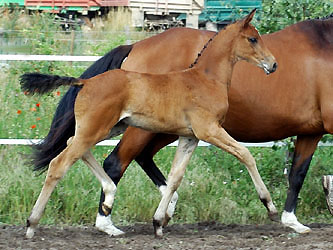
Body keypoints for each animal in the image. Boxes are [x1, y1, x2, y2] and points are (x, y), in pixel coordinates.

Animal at [20, 9, 274, 236]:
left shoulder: (189, 137)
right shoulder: (209, 130)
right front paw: (269, 205)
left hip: (109, 127)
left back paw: (109, 197)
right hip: (96, 129)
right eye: (253, 38)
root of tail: (85, 82)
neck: (206, 79)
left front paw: (159, 223)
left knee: (74, 145)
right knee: (59, 164)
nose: (273, 64)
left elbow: (175, 178)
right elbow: (245, 154)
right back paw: (32, 224)